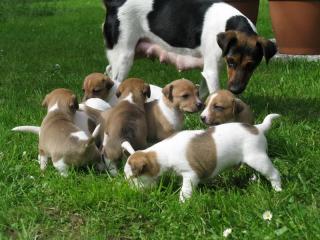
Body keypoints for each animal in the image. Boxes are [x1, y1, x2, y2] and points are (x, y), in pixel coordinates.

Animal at [103, 0, 278, 94]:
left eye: (251, 65)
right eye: (231, 62)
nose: (235, 90)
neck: (228, 24)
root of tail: (114, 4)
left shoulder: (208, 70)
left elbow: (204, 93)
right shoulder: (212, 72)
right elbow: (215, 93)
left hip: (129, 53)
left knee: (108, 71)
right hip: (125, 57)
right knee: (115, 80)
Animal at [124, 113, 282, 202]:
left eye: (133, 178)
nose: (132, 193)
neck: (162, 154)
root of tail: (258, 128)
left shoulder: (190, 175)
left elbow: (185, 191)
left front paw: (182, 203)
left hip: (258, 158)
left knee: (274, 174)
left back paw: (278, 190)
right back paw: (254, 180)